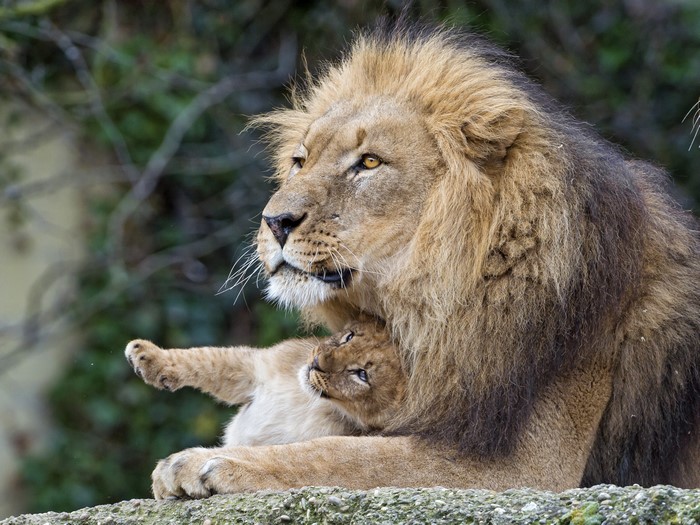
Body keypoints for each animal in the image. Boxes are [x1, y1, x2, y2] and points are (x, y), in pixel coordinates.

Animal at [125, 318, 405, 446]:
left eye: (361, 374)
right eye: (349, 336)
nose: (316, 362)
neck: (311, 400)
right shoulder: (254, 369)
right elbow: (204, 359)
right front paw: (145, 355)